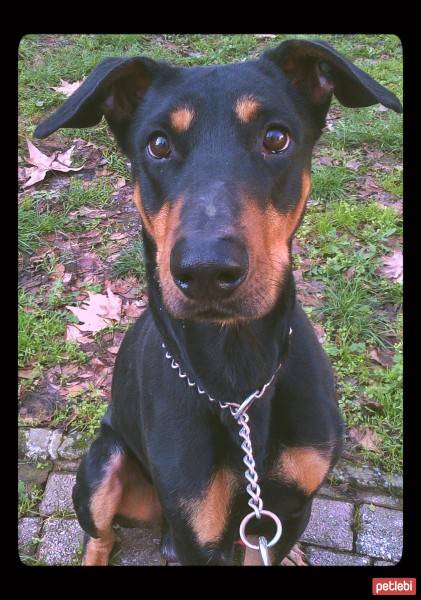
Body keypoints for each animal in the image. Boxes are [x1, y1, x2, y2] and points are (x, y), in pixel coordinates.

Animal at [34, 38, 402, 568]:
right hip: (104, 463)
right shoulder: (196, 527)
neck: (239, 376)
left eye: (276, 138)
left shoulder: (289, 505)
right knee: (99, 534)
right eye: (158, 144)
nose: (206, 272)